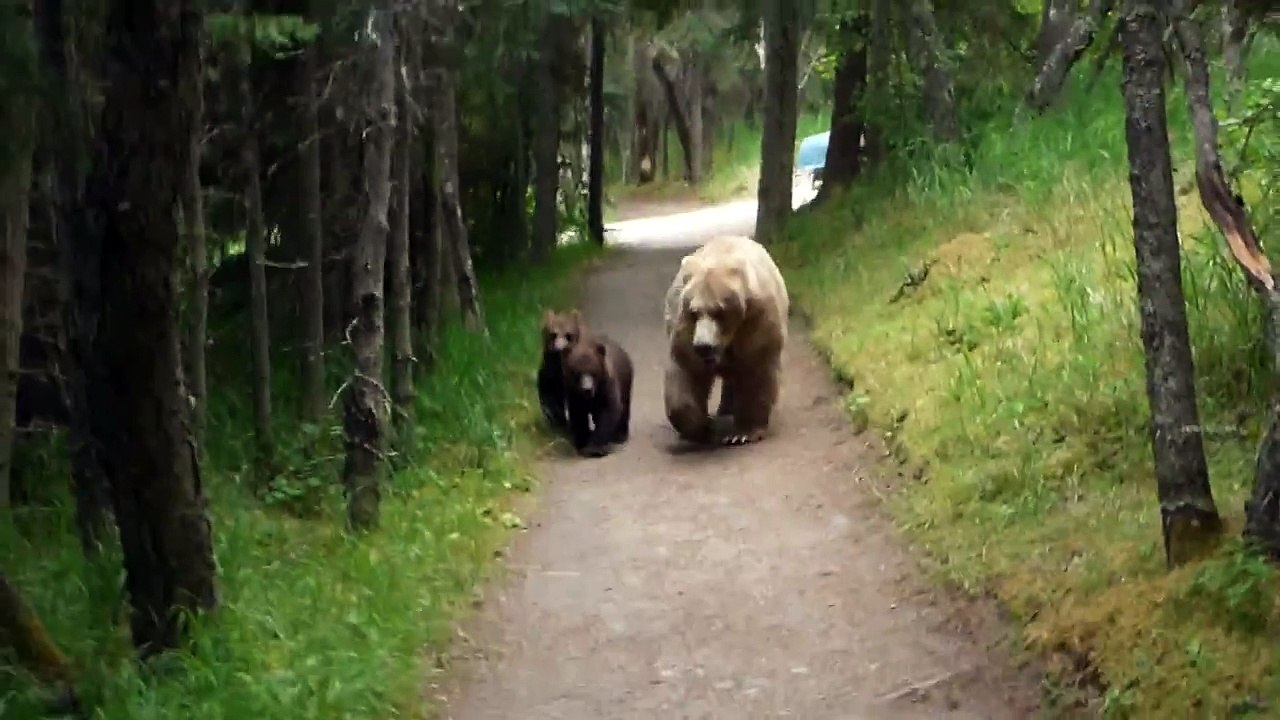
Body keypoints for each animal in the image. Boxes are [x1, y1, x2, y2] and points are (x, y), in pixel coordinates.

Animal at [561, 328, 634, 458]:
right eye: (577, 372)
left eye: (592, 371)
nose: (587, 388)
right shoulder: (573, 393)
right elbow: (578, 415)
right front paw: (582, 442)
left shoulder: (606, 386)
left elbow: (609, 411)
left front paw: (595, 448)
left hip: (625, 380)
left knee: (625, 406)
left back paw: (620, 434)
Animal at [662, 234, 789, 446]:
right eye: (695, 311)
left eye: (719, 311)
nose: (703, 346)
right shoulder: (685, 327)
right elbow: (686, 371)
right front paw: (702, 428)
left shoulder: (756, 319)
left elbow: (757, 367)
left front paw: (742, 433)